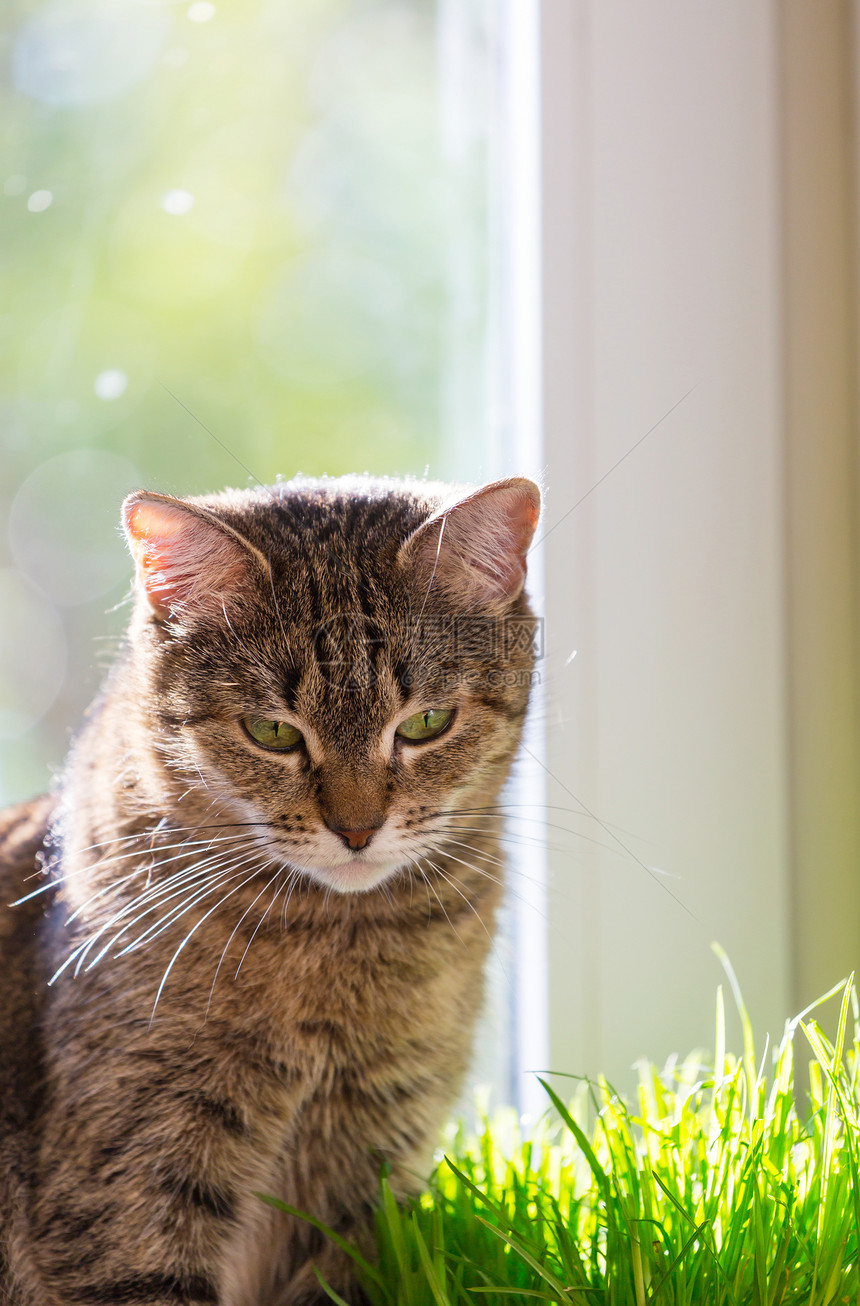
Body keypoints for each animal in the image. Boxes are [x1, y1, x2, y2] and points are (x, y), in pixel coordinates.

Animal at [0, 477, 535, 1306]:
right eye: (272, 733)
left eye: (427, 723)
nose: (357, 829)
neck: (333, 946)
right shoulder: (131, 1188)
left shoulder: (367, 1186)